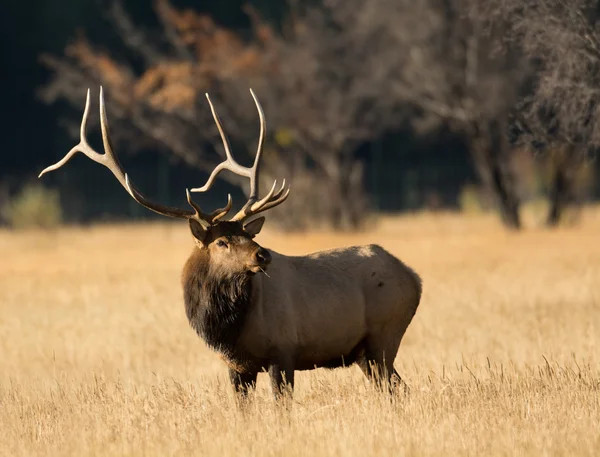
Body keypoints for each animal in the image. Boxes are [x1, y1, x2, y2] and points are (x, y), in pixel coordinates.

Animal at [38, 86, 422, 400]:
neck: (228, 328)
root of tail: (414, 277)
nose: (263, 255)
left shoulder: (283, 351)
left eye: (249, 235)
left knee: (397, 387)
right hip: (363, 353)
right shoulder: (236, 366)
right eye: (222, 241)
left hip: (384, 336)